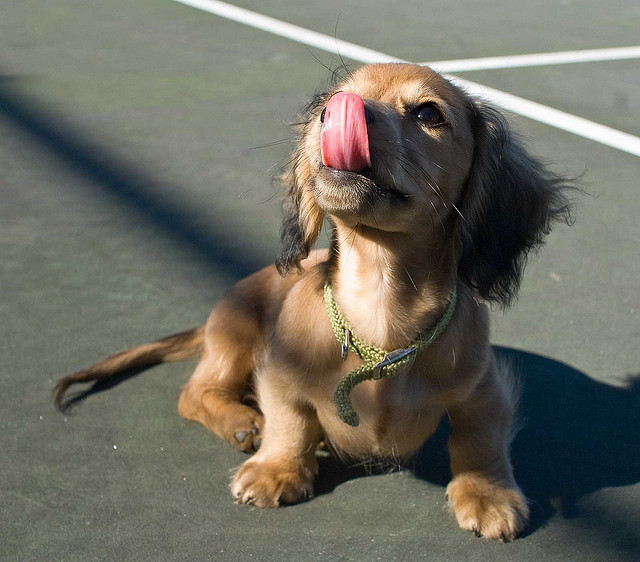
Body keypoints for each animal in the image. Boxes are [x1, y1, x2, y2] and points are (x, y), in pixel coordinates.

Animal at [55, 63, 572, 540]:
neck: (379, 320)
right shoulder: (280, 373)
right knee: (195, 393)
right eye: (334, 99)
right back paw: (243, 421)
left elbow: (478, 438)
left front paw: (487, 493)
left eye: (429, 114)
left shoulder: (485, 388)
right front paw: (277, 469)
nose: (336, 114)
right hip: (233, 338)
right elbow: (291, 420)